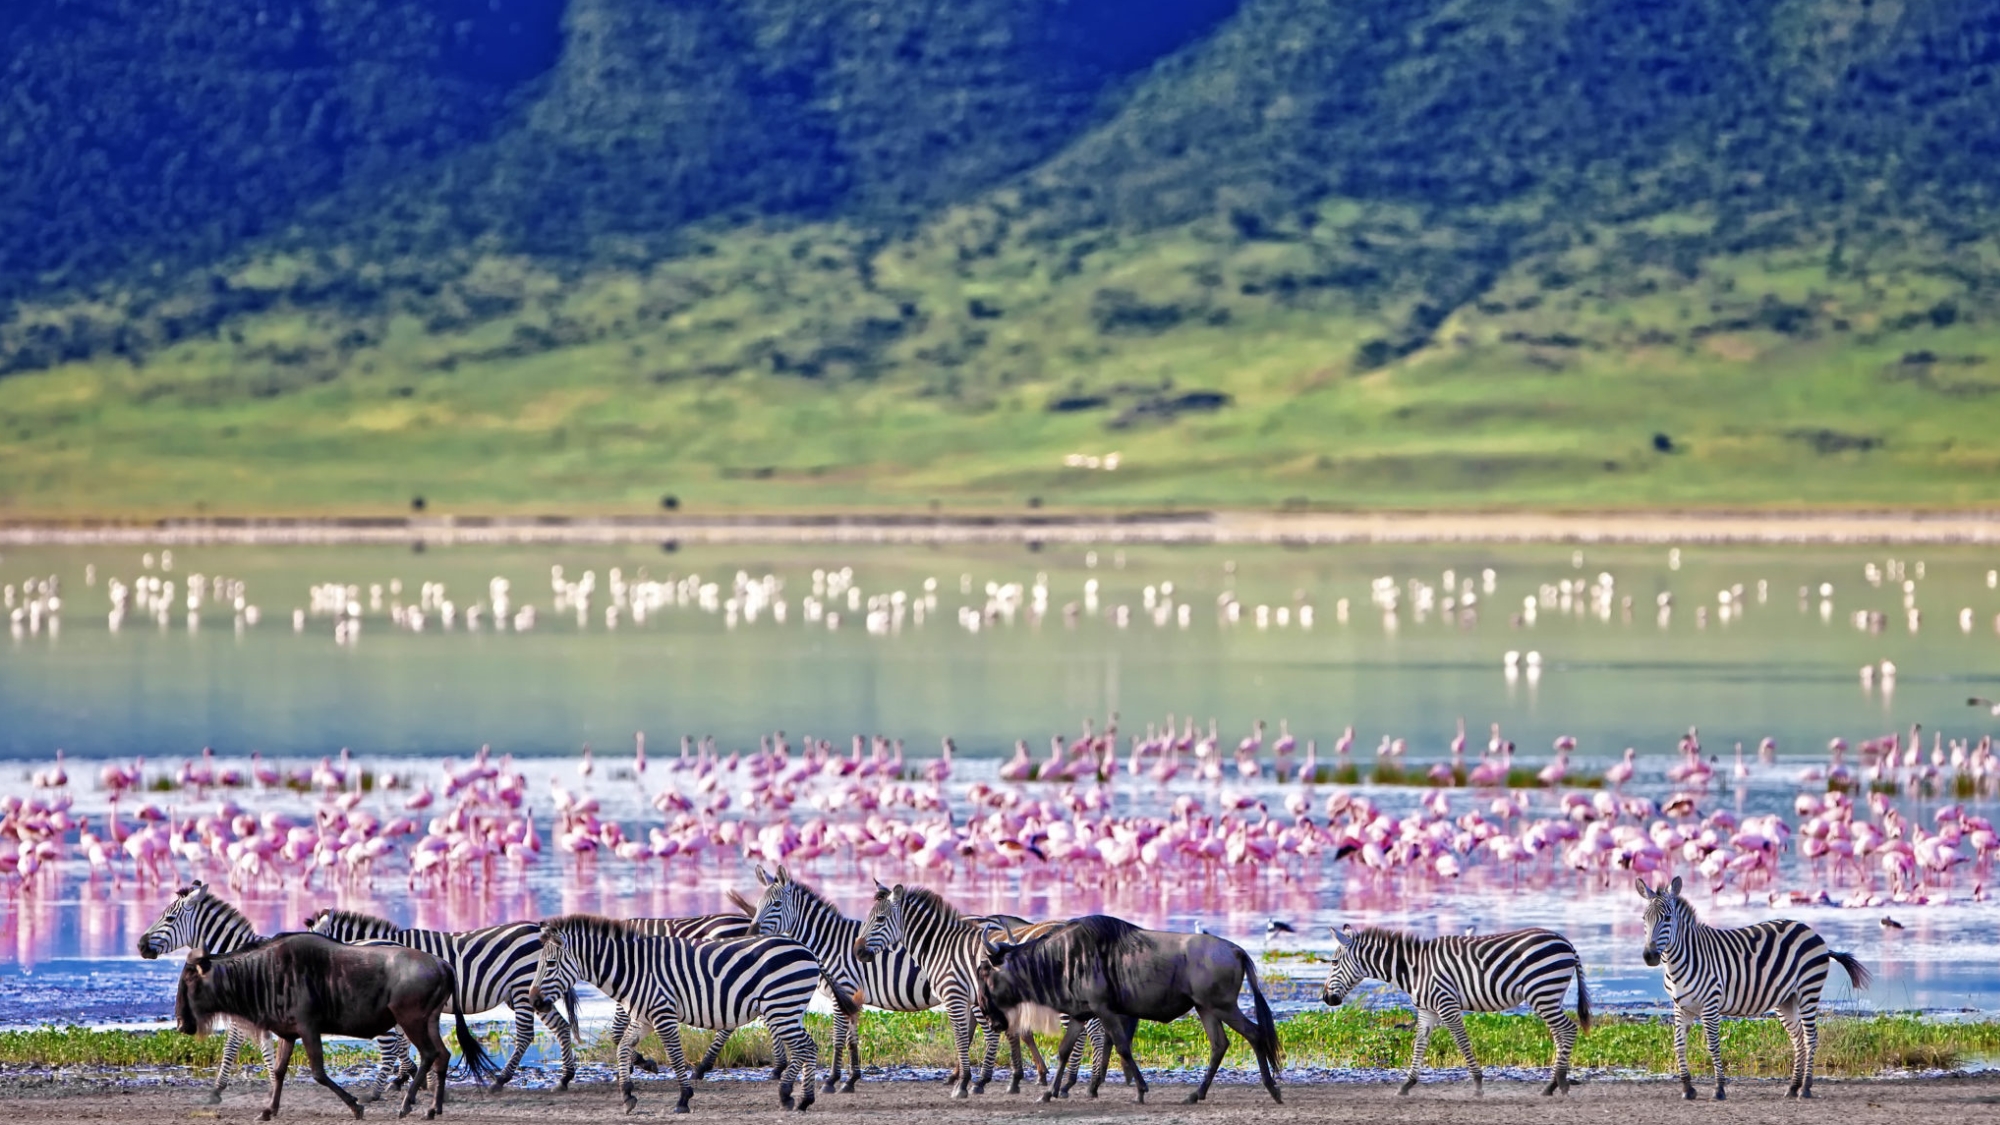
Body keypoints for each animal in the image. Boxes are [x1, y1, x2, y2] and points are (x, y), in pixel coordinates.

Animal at [137, 881, 278, 1103]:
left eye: (169, 918)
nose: (140, 945)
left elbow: (232, 1046)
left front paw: (217, 1090)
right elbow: (266, 1048)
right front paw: (274, 1088)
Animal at [305, 908, 581, 1094]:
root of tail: (539, 930)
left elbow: (402, 1043)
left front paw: (406, 1077)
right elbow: (404, 1042)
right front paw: (410, 1076)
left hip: (523, 989)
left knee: (525, 1035)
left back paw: (500, 1080)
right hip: (534, 994)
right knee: (561, 1027)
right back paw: (566, 1077)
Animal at [527, 914, 823, 1114]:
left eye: (549, 964)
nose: (533, 1001)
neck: (634, 968)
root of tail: (806, 949)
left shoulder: (663, 1014)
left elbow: (675, 1056)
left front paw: (683, 1098)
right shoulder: (643, 1019)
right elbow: (622, 1048)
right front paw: (627, 1095)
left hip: (781, 1006)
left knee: (805, 1046)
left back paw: (792, 1096)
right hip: (787, 1008)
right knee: (808, 1047)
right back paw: (799, 1098)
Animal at [1320, 923, 1590, 1095]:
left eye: (1333, 963)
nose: (1325, 998)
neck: (1414, 969)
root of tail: (1566, 942)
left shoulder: (1446, 1005)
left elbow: (1462, 1042)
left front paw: (1478, 1084)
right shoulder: (1427, 1010)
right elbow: (1419, 1044)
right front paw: (1407, 1085)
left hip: (1542, 991)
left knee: (1568, 1029)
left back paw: (1559, 1083)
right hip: (1549, 995)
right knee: (1560, 1033)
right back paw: (1552, 1085)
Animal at [1637, 875, 1870, 1100]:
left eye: (1668, 918)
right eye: (1644, 919)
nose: (1649, 956)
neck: (1679, 961)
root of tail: (1809, 930)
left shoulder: (1710, 1005)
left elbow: (1713, 1045)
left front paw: (1719, 1088)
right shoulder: (1681, 1007)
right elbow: (1679, 1045)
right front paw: (1687, 1088)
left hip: (1808, 990)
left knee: (1810, 1037)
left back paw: (1805, 1088)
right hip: (1786, 999)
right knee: (1798, 1039)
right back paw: (1793, 1087)